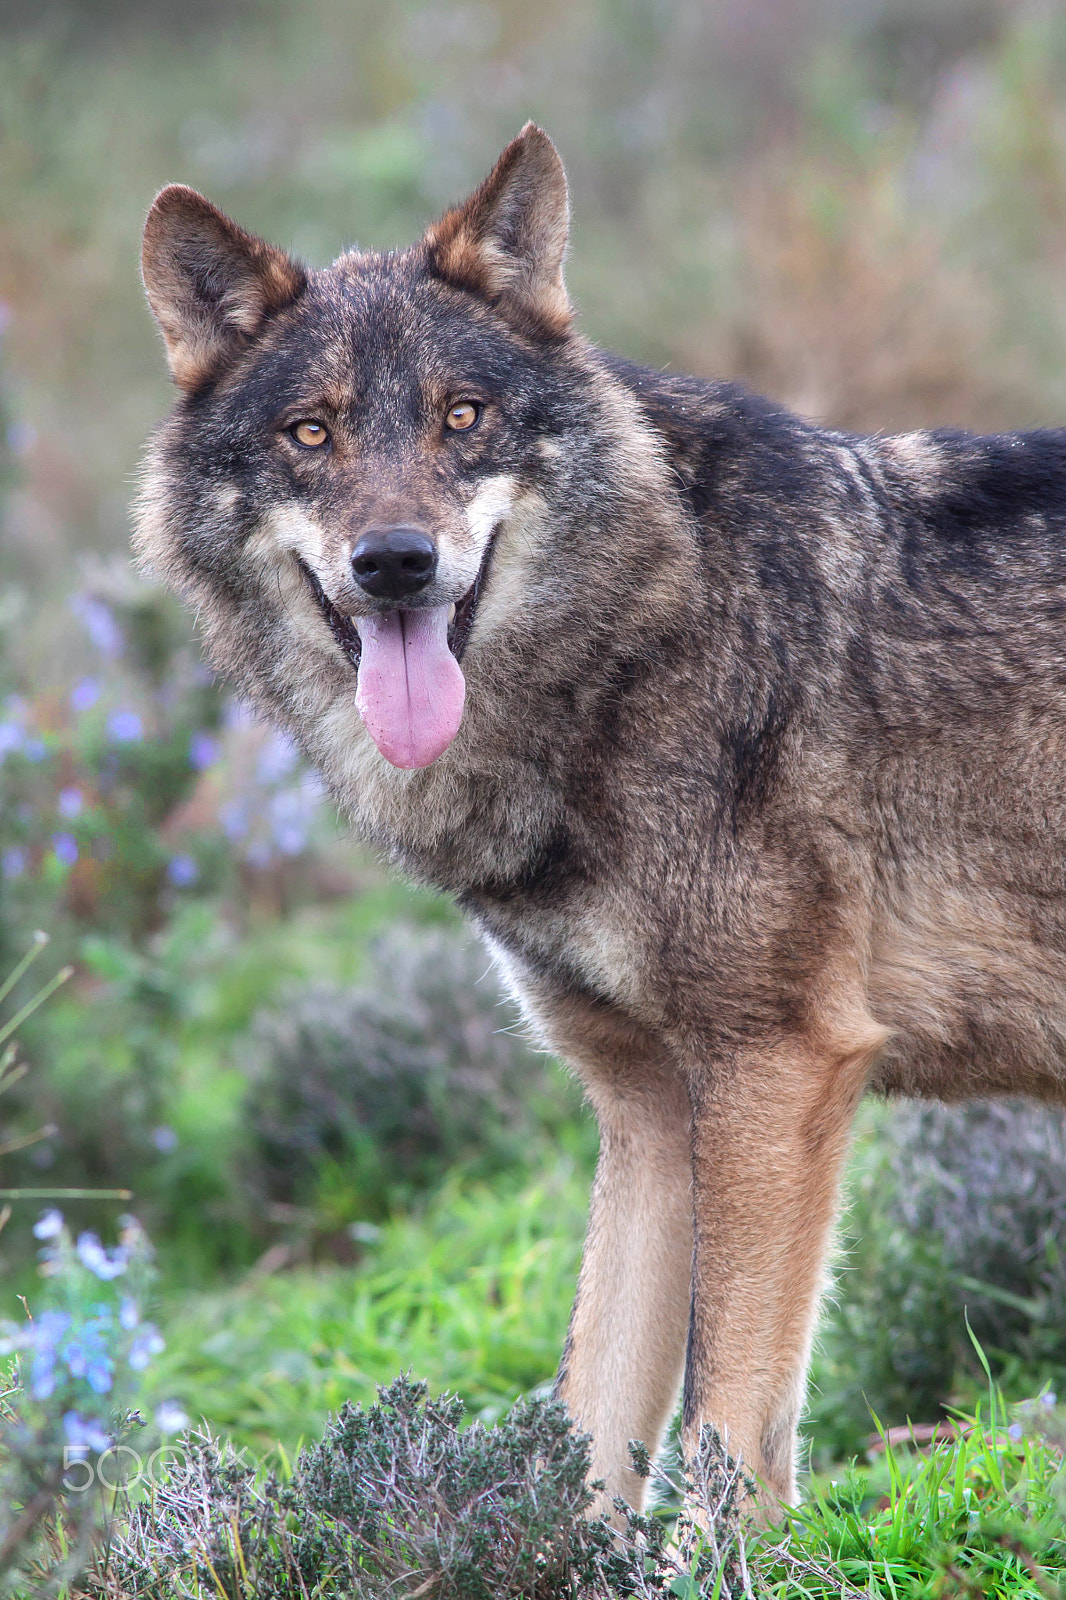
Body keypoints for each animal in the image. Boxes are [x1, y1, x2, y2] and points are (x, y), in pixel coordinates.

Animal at [135, 121, 1066, 1510]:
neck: (639, 643)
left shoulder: (776, 1068)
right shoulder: (643, 1109)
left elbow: (729, 1436)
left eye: (461, 417)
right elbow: (588, 1427)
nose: (395, 561)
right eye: (310, 433)